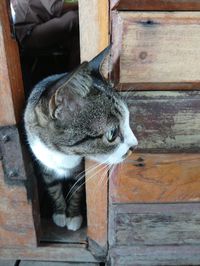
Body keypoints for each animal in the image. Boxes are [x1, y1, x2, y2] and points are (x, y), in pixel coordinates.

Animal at [23, 47, 138, 231]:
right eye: (112, 133)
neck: (62, 155)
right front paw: (60, 213)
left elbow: (77, 190)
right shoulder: (43, 163)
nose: (135, 145)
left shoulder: (79, 171)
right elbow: (53, 188)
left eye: (128, 120)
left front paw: (74, 216)